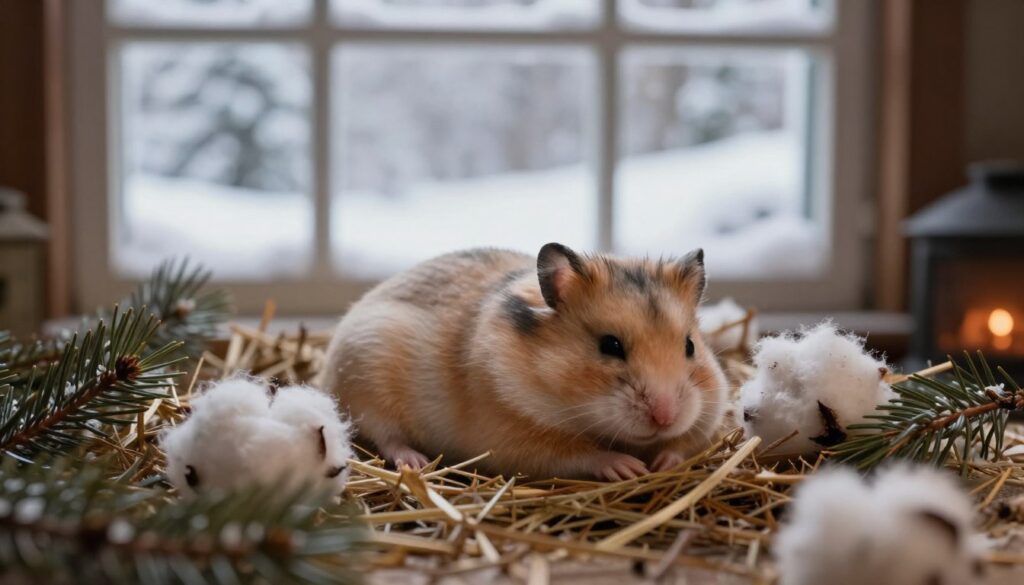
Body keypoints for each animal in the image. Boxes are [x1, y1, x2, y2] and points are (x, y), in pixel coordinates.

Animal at [320, 243, 729, 480]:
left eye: (690, 346)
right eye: (610, 345)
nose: (665, 417)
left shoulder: (706, 417)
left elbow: (686, 443)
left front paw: (662, 463)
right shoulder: (517, 440)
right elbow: (580, 453)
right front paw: (627, 467)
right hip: (368, 386)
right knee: (386, 437)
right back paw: (416, 462)